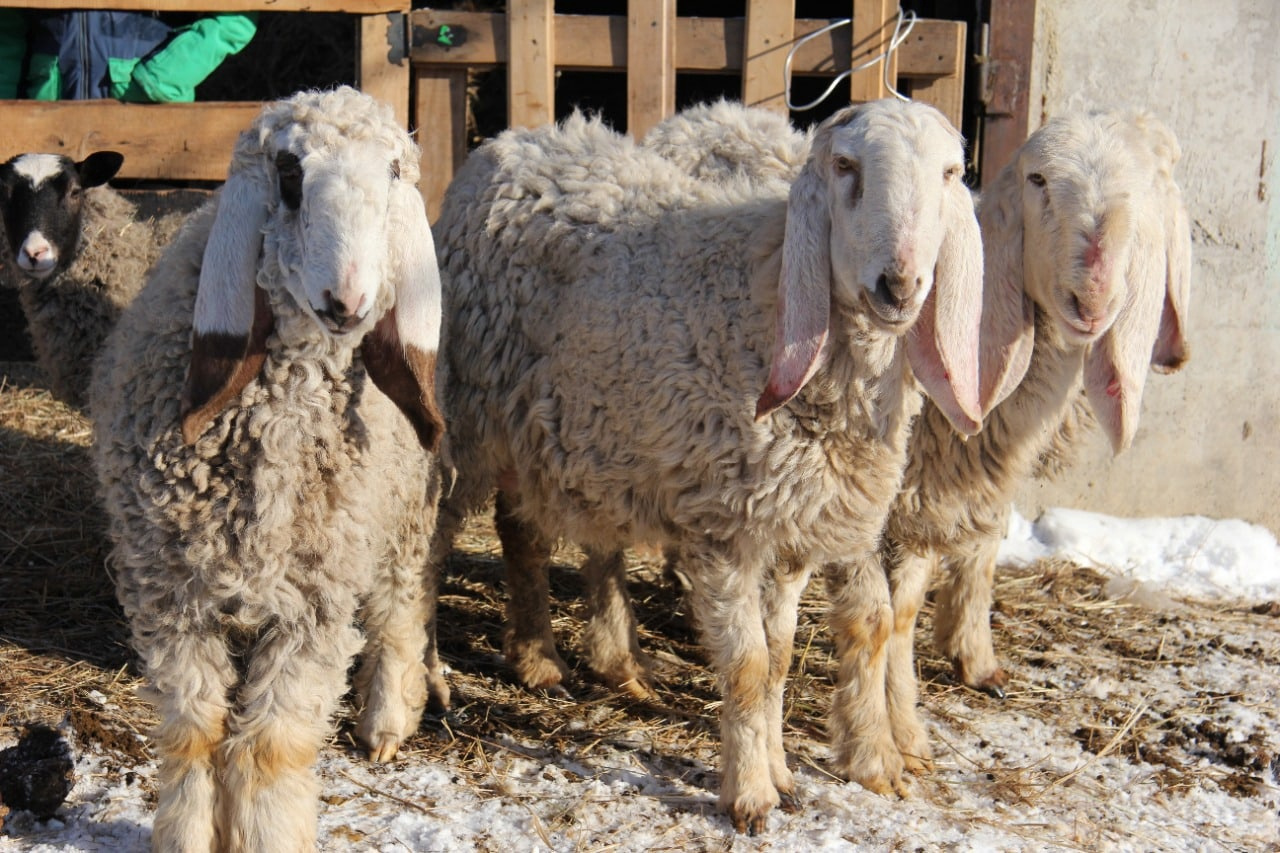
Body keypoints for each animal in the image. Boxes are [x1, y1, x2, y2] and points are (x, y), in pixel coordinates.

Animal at [87, 87, 448, 850]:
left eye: (394, 173)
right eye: (288, 174)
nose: (348, 302)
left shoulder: (316, 600)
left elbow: (267, 746)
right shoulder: (171, 592)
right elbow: (194, 732)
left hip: (404, 509)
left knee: (400, 603)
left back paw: (386, 717)